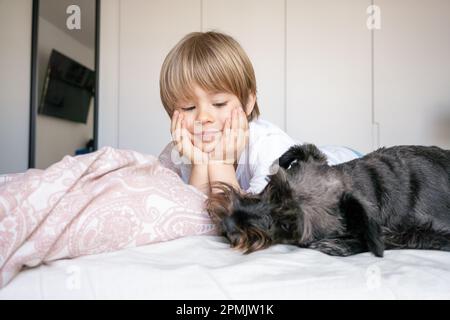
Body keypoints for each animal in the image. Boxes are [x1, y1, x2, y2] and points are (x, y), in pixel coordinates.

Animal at [207, 145, 450, 258]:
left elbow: (393, 239)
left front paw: (339, 245)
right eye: (272, 186)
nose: (228, 223)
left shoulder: (435, 232)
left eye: (287, 225)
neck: (372, 183)